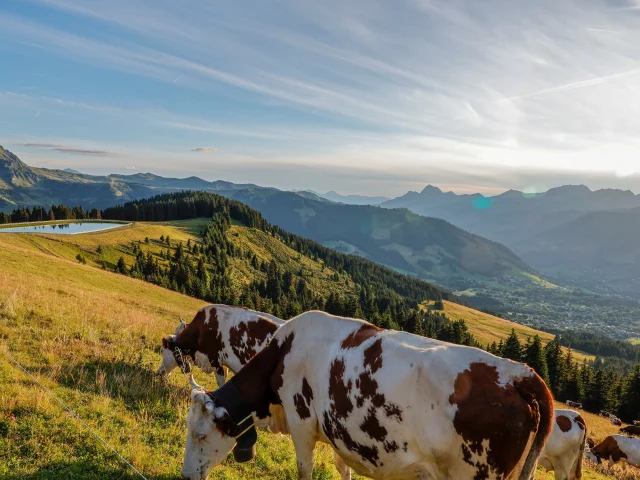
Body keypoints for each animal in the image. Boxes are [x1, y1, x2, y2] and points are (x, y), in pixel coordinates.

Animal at [180, 312, 556, 480]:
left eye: (200, 436)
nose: (185, 476)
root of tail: (517, 373)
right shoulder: (337, 433)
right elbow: (341, 467)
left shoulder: (302, 424)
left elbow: (305, 470)